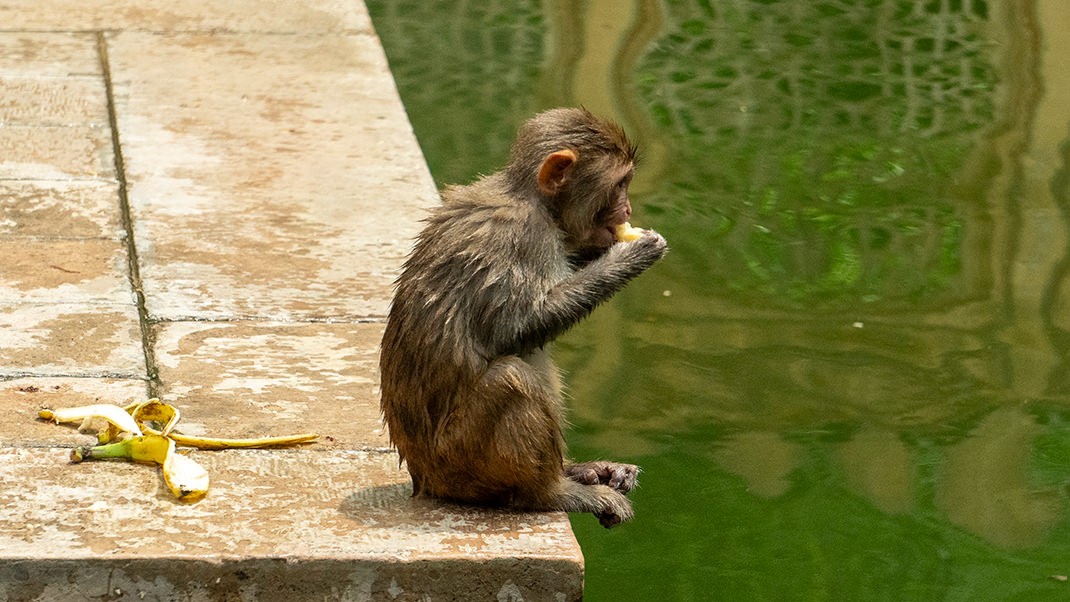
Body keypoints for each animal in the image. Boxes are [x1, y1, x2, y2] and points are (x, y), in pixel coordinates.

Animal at [383, 106, 667, 528]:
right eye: (620, 184)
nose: (628, 210)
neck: (531, 198)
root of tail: (423, 479)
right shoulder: (526, 235)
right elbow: (516, 329)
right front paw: (632, 255)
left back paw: (575, 471)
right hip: (458, 464)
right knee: (511, 377)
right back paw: (550, 491)